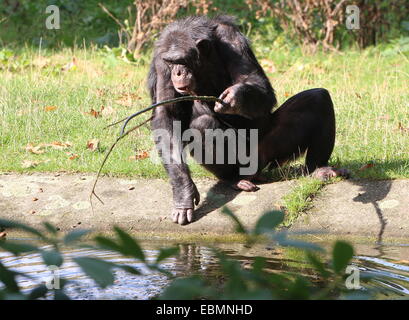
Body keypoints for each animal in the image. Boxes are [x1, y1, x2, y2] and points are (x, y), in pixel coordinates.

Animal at [148, 15, 346, 225]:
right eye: (170, 62)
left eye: (182, 60)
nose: (177, 72)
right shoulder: (160, 64)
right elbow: (166, 116)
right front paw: (183, 192)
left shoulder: (232, 39)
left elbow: (258, 84)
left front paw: (235, 97)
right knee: (202, 126)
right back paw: (235, 179)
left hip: (269, 149)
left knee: (318, 98)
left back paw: (319, 169)